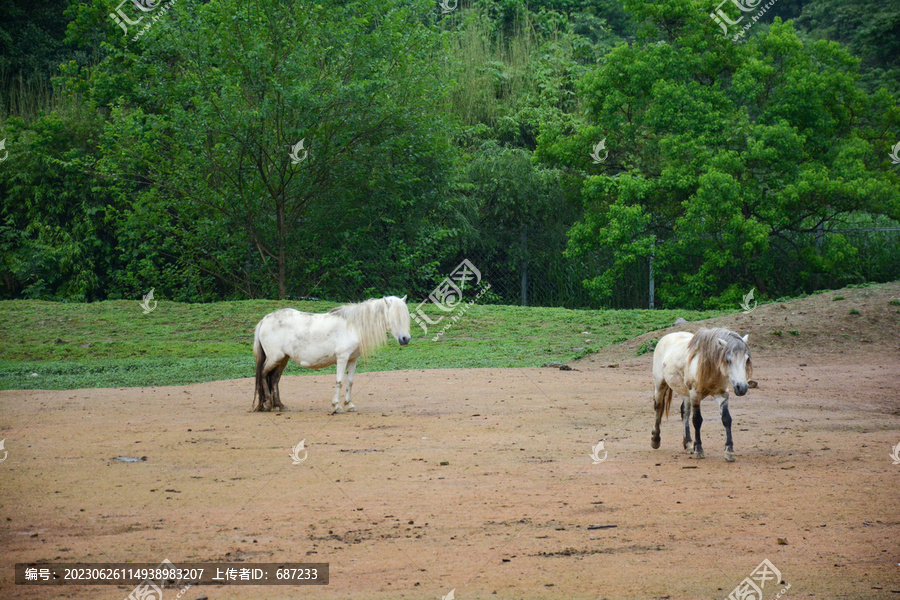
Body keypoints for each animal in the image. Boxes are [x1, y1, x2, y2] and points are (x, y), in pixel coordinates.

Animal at [250, 296, 412, 412]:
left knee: (274, 378)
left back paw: (280, 405)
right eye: (394, 317)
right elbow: (339, 381)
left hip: (283, 359)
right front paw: (337, 406)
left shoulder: (353, 359)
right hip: (274, 358)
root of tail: (264, 320)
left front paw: (350, 404)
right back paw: (267, 404)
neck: (353, 326)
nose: (405, 339)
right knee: (263, 374)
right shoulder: (342, 357)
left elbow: (350, 381)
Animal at [652, 328, 752, 460]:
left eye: (746, 359)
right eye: (728, 360)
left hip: (686, 392)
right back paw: (655, 440)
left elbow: (726, 419)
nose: (742, 388)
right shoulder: (695, 396)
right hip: (660, 384)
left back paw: (688, 444)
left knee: (684, 412)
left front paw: (729, 451)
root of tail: (666, 337)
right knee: (658, 408)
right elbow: (697, 420)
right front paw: (699, 450)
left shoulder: (722, 395)